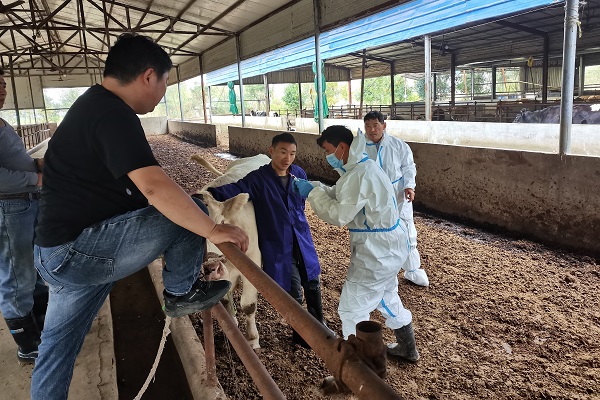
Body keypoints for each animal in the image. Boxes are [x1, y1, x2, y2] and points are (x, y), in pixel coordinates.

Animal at [192, 153, 271, 350]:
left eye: (221, 222)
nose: (210, 267)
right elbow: (226, 299)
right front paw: (232, 325)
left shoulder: (253, 264)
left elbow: (248, 305)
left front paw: (252, 339)